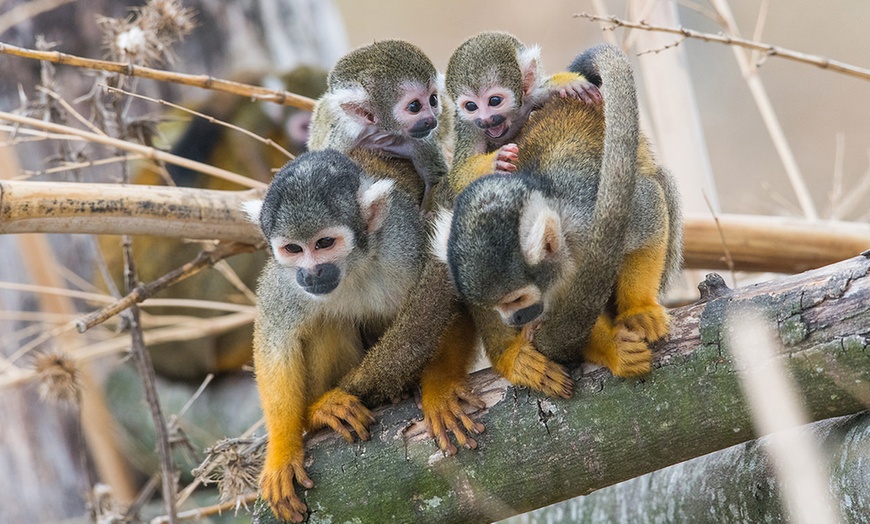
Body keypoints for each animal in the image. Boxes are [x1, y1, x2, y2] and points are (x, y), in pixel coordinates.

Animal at [308, 39, 456, 211]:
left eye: (433, 100)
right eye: (415, 106)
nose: (432, 120)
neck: (381, 135)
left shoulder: (421, 141)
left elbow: (434, 181)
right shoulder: (344, 141)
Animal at [432, 45, 684, 396]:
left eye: (516, 299)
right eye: (499, 306)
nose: (515, 321)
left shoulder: (591, 216)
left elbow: (648, 208)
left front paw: (639, 309)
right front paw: (609, 348)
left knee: (658, 182)